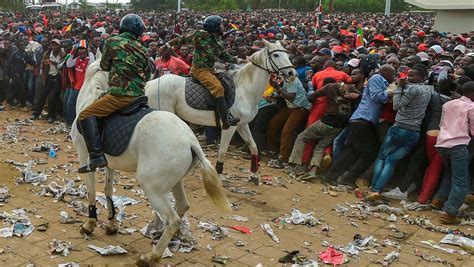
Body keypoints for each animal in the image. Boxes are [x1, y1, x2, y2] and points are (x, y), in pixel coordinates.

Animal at [71, 50, 231, 266]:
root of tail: (191, 141)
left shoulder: (85, 156)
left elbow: (91, 191)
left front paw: (89, 224)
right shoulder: (109, 162)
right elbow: (108, 190)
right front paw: (112, 224)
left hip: (151, 185)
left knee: (172, 219)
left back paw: (151, 256)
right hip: (174, 181)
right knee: (182, 206)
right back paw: (162, 235)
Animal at [144, 38, 294, 175]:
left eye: (287, 55)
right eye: (276, 55)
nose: (292, 73)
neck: (245, 90)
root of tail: (149, 84)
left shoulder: (242, 125)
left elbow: (254, 147)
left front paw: (254, 174)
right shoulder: (229, 127)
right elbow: (222, 152)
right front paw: (219, 173)